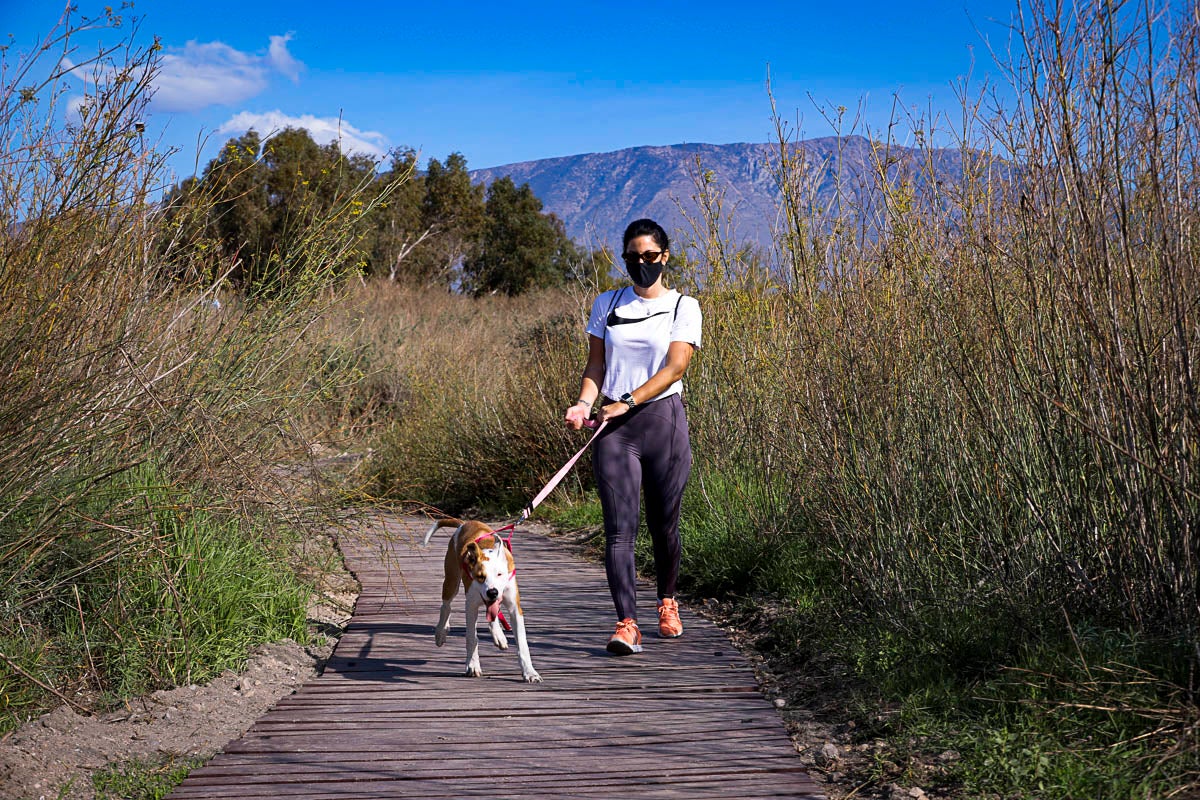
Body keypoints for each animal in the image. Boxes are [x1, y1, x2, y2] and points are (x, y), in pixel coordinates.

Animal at [417, 520, 540, 681]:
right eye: (480, 576)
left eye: (500, 574)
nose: (492, 592)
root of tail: (465, 523)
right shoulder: (471, 606)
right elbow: (471, 637)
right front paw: (472, 665)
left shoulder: (515, 609)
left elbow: (522, 643)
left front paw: (530, 672)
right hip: (451, 581)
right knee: (446, 606)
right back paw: (441, 632)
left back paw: (498, 635)